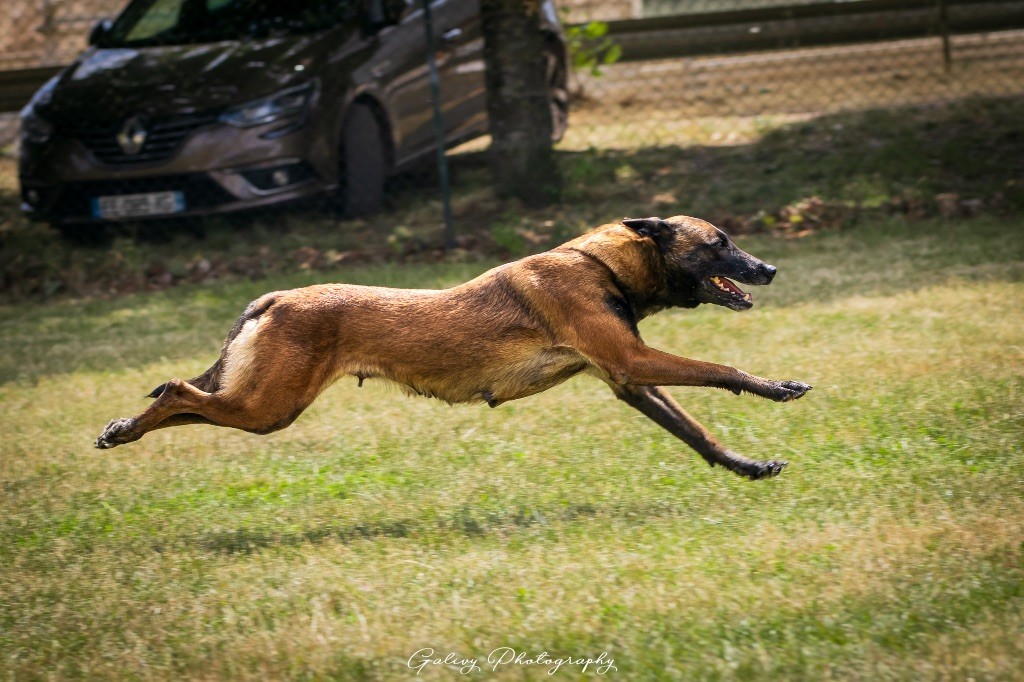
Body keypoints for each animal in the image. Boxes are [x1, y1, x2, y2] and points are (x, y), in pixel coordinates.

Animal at [99, 216, 811, 477]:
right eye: (719, 242)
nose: (771, 269)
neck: (600, 264)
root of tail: (271, 299)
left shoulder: (629, 379)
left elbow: (696, 433)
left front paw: (745, 465)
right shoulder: (633, 362)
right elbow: (721, 369)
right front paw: (778, 387)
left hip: (260, 402)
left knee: (185, 402)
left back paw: (124, 429)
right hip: (268, 406)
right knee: (177, 391)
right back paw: (123, 429)